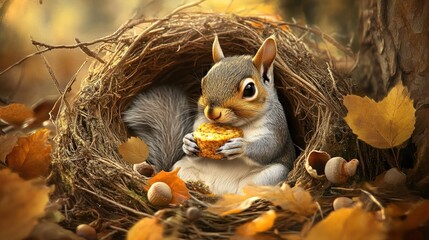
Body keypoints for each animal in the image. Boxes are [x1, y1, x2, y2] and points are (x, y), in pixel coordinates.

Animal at [123, 35, 294, 193]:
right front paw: (188, 142)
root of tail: (219, 191)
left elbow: (270, 147)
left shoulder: (277, 125)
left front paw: (241, 146)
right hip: (182, 168)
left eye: (250, 89)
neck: (240, 124)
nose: (212, 113)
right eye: (202, 84)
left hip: (271, 175)